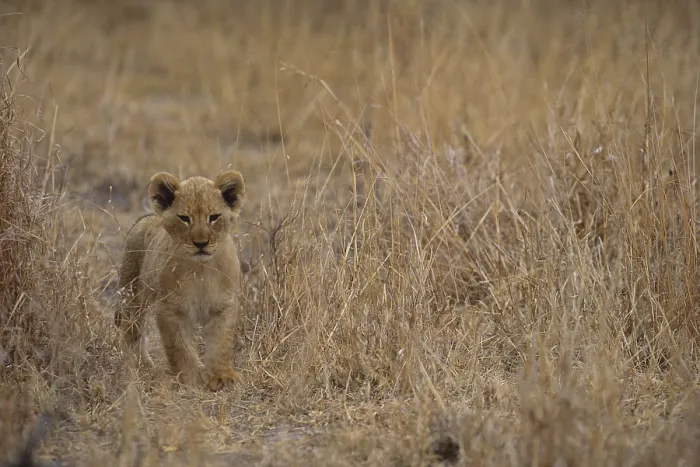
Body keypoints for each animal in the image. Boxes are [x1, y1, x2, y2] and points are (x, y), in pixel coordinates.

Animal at [115, 170, 245, 391]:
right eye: (184, 218)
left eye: (214, 217)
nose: (201, 243)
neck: (201, 270)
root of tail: (146, 218)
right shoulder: (170, 309)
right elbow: (179, 347)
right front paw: (191, 378)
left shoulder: (224, 305)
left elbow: (221, 343)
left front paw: (222, 376)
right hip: (133, 295)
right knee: (132, 331)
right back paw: (137, 366)